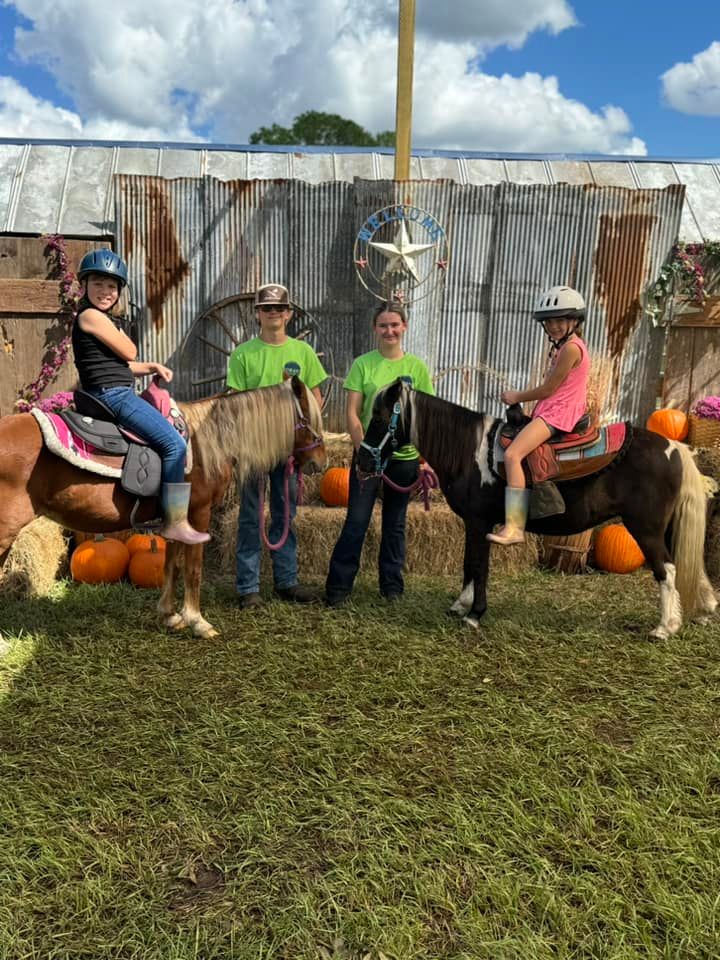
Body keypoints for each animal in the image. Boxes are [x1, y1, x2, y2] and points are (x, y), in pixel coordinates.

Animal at [0, 377, 326, 638]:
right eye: (310, 421)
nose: (320, 463)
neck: (207, 440)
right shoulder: (198, 515)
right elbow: (192, 568)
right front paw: (197, 621)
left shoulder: (175, 521)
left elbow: (171, 564)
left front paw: (170, 615)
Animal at [357, 379, 717, 640]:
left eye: (379, 417)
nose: (361, 462)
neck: (470, 451)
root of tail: (674, 447)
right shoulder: (474, 524)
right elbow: (469, 564)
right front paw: (461, 605)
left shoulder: (479, 522)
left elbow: (478, 565)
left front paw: (474, 614)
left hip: (645, 528)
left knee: (666, 570)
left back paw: (664, 628)